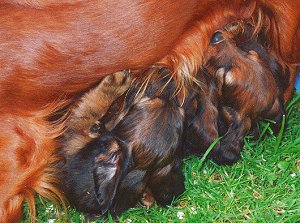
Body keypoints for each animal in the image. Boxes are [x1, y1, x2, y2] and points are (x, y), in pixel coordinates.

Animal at [59, 67, 185, 216]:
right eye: (182, 111)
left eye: (147, 99)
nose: (166, 72)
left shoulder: (76, 134)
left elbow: (93, 106)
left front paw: (116, 82)